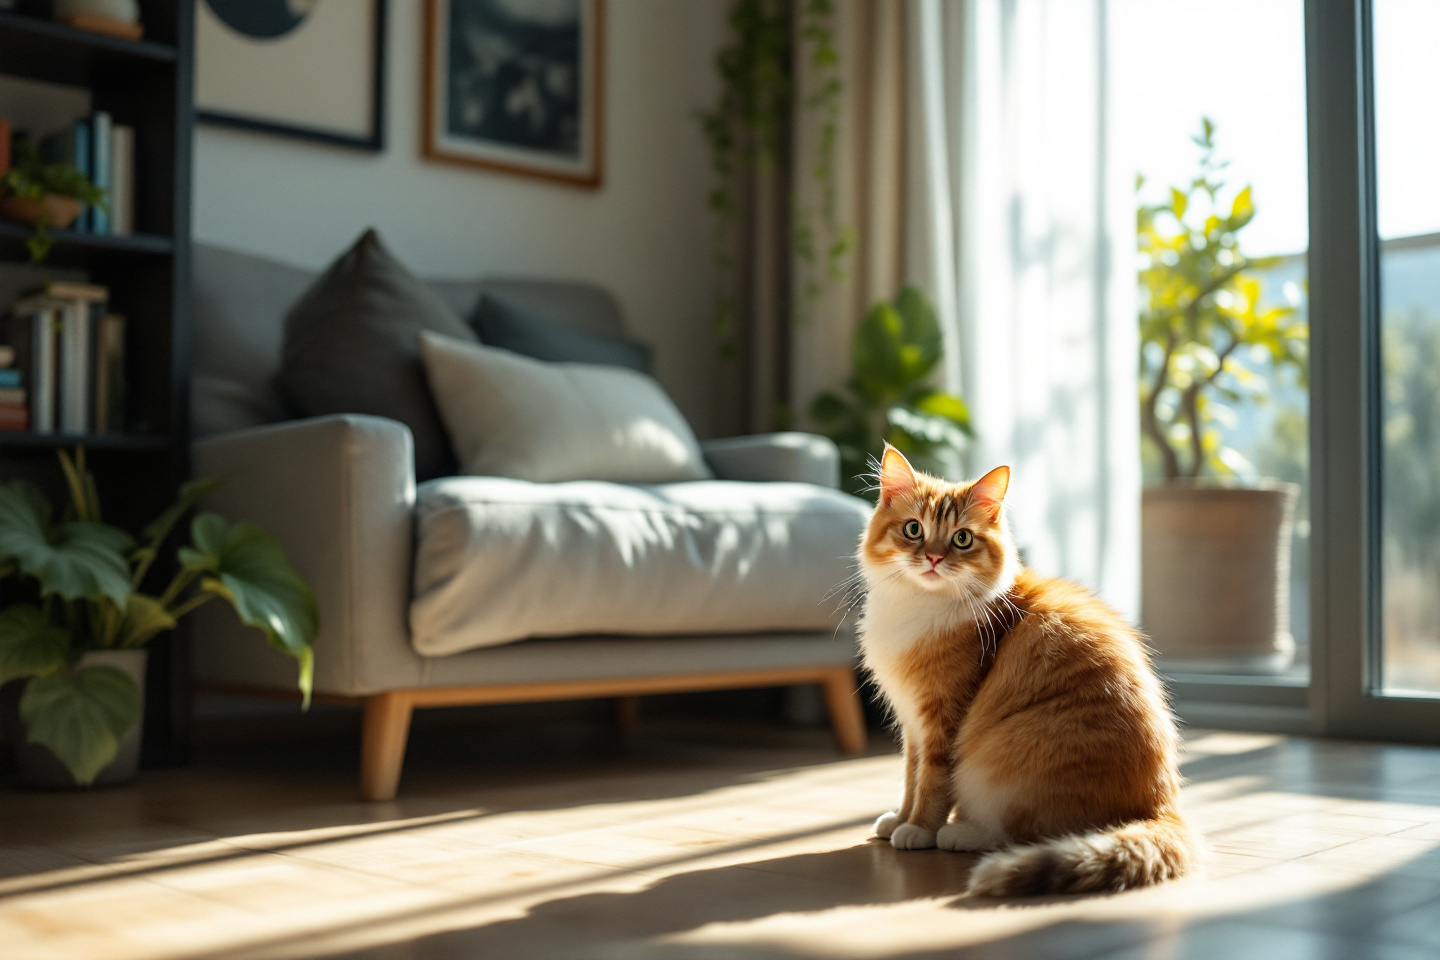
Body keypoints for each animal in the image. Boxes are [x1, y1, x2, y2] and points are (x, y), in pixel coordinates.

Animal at [858, 446, 1198, 898]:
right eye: (913, 530)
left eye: (961, 538)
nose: (932, 558)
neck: (918, 606)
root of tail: (1162, 806)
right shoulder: (912, 723)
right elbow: (910, 780)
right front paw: (899, 818)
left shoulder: (942, 722)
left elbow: (931, 784)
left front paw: (918, 830)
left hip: (1000, 765)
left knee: (1021, 833)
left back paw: (961, 834)